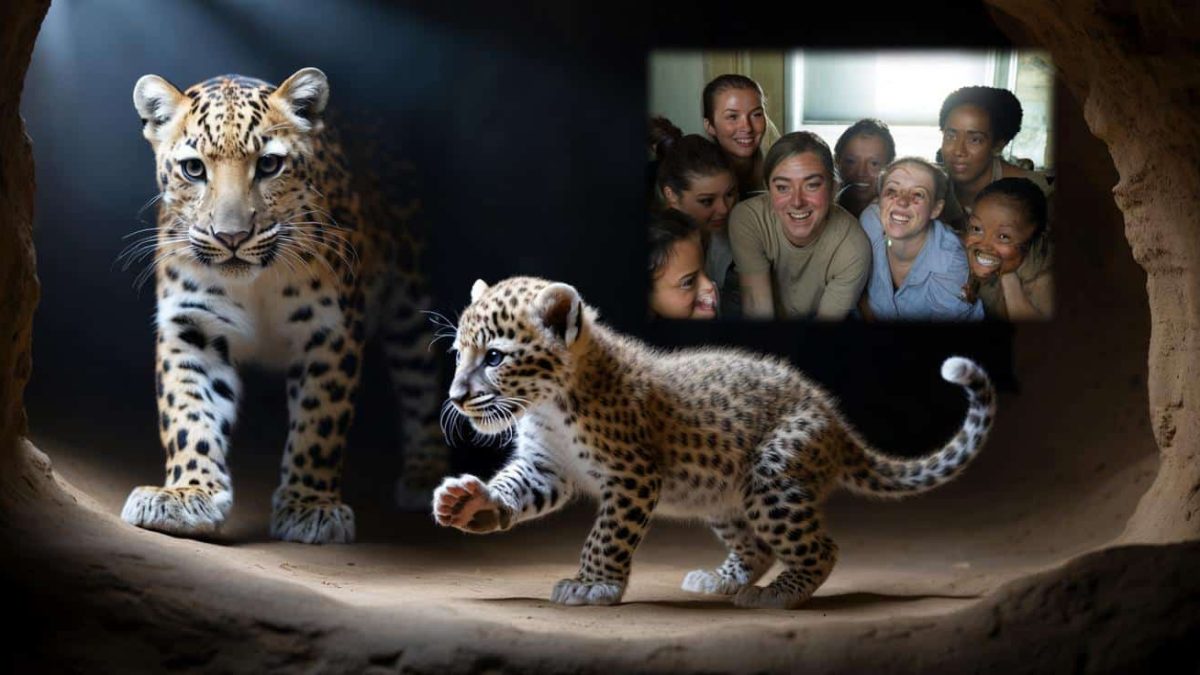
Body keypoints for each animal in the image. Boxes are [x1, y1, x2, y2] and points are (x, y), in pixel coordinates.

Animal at [119, 67, 446, 544]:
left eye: (269, 165)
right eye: (194, 169)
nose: (231, 236)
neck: (255, 286)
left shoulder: (330, 332)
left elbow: (319, 423)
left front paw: (310, 506)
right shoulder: (191, 328)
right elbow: (188, 413)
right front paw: (187, 493)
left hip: (409, 304)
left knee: (424, 383)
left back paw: (427, 475)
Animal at [432, 276, 996, 608]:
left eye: (495, 358)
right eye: (459, 353)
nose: (456, 397)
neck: (546, 407)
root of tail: (836, 423)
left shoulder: (632, 475)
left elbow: (607, 535)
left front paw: (593, 584)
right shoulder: (546, 465)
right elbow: (515, 487)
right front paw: (470, 503)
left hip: (772, 476)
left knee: (823, 548)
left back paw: (775, 596)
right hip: (725, 497)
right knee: (758, 548)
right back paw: (722, 581)